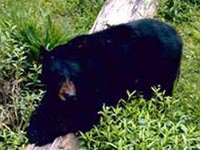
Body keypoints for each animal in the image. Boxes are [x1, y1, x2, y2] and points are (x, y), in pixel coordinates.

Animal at [27, 18, 183, 145]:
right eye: (57, 76)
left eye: (74, 75)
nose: (70, 96)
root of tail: (177, 36)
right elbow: (47, 103)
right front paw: (34, 125)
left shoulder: (97, 80)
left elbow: (86, 114)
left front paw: (40, 133)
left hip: (163, 67)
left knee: (162, 93)